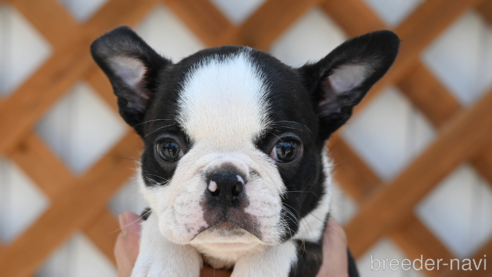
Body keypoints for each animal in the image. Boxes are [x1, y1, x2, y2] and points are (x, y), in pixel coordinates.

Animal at [91, 26, 400, 276]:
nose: (226, 182)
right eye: (168, 148)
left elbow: (284, 248)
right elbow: (160, 223)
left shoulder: (315, 238)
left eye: (286, 149)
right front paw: (164, 263)